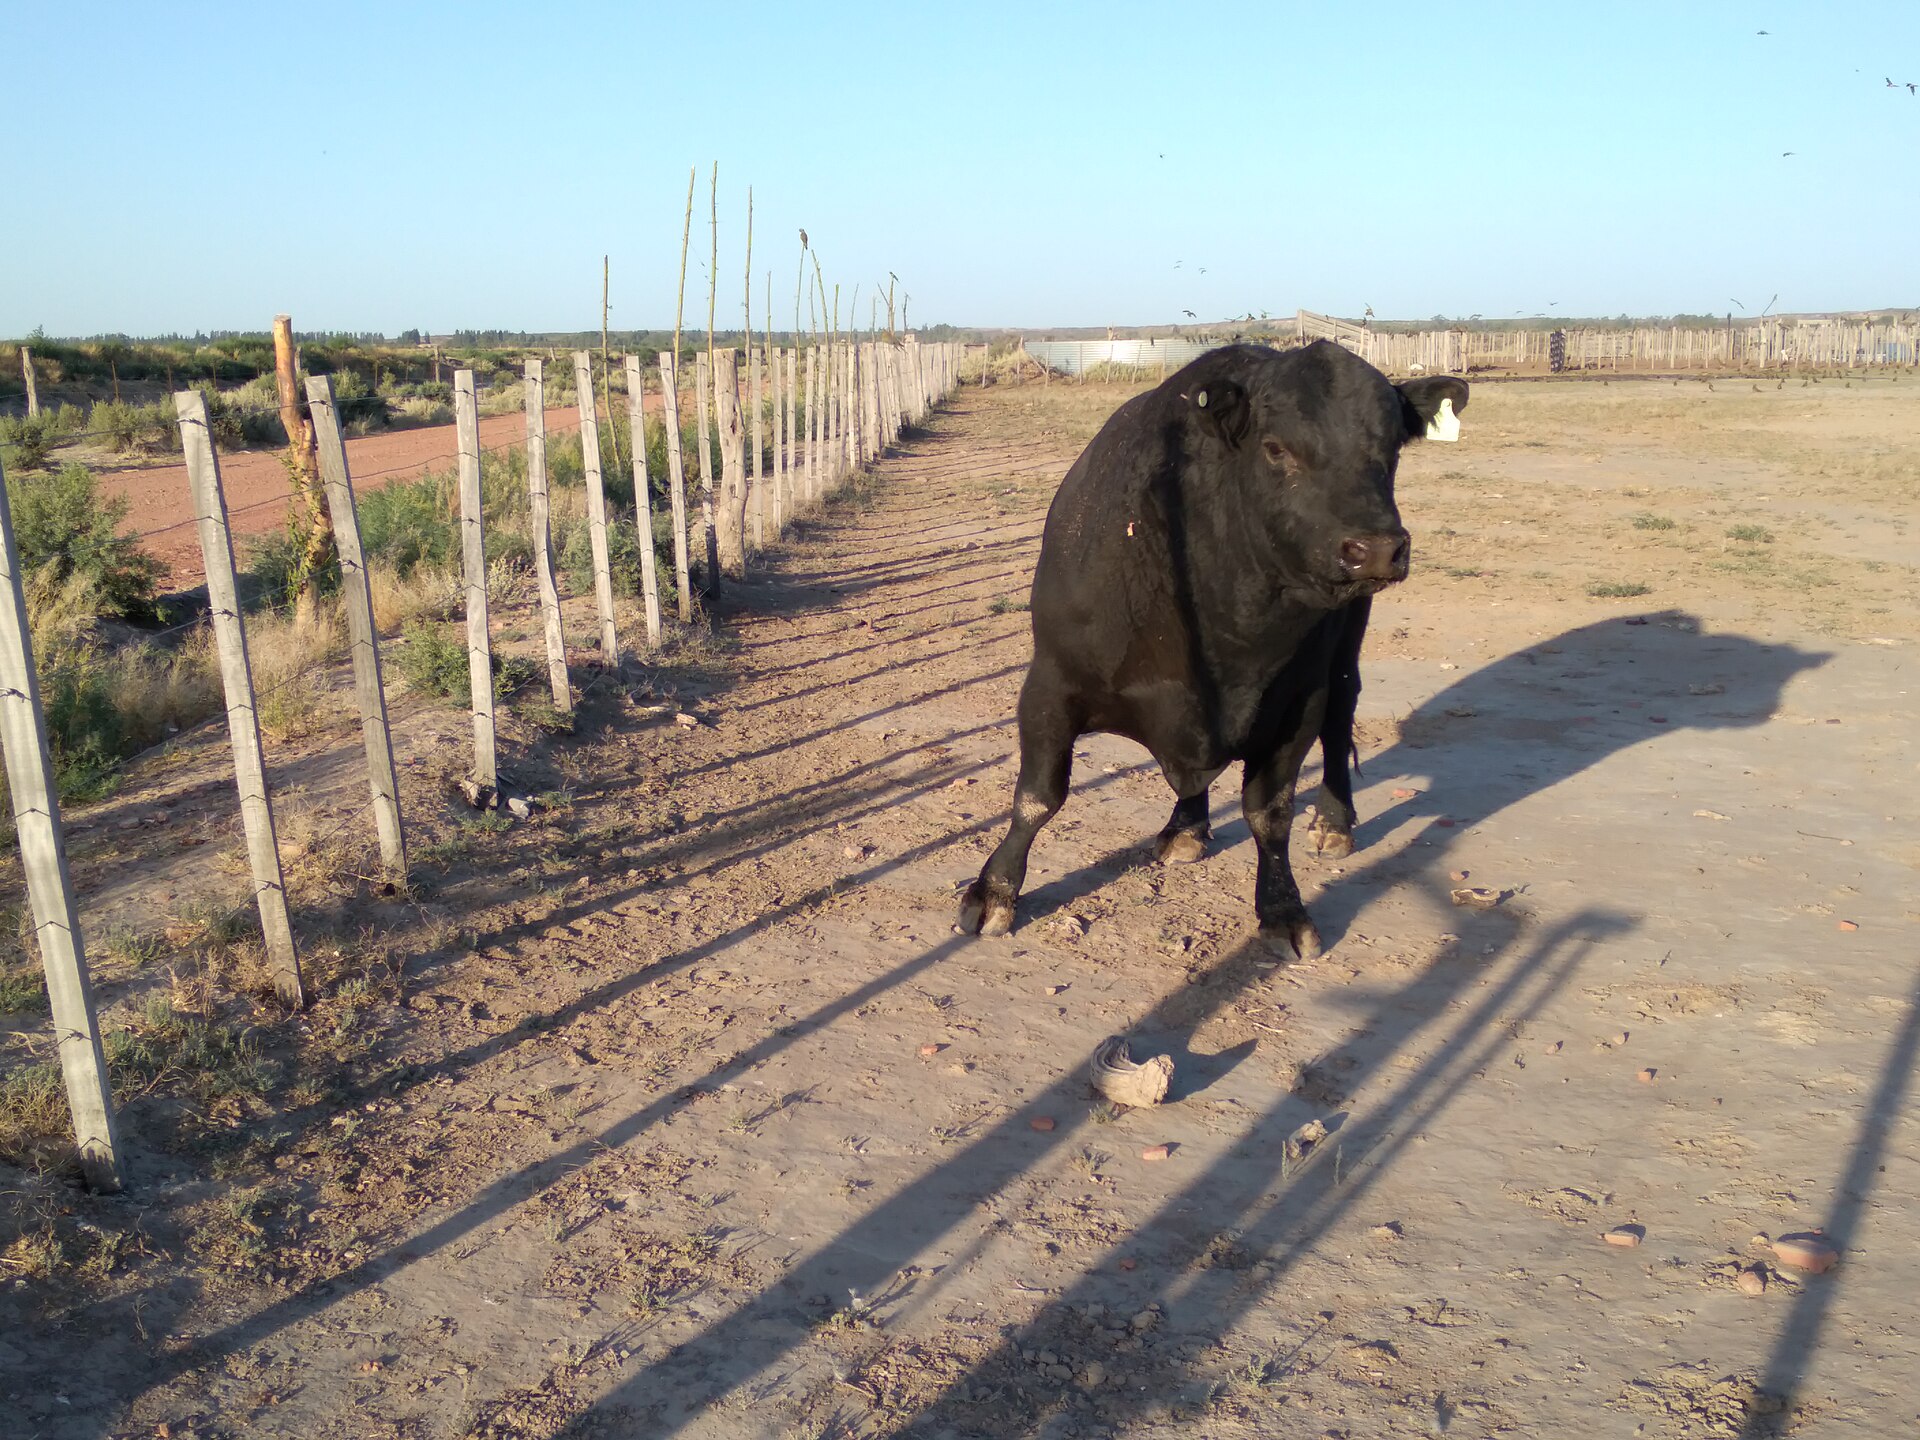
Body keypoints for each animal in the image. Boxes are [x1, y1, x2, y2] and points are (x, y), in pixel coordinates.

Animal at [956, 340, 1467, 959]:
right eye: (1275, 448)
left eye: (1391, 448)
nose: (1374, 548)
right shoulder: (1051, 683)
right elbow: (1037, 796)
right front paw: (994, 890)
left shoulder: (1300, 702)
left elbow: (1270, 813)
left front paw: (1283, 909)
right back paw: (1185, 826)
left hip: (1345, 654)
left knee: (1340, 723)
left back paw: (1333, 823)